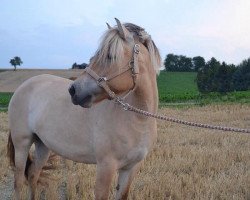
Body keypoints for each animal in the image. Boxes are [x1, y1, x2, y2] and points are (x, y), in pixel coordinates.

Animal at [7, 18, 161, 199]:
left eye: (110, 56)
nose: (73, 90)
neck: (137, 120)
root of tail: (22, 86)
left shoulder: (131, 168)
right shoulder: (106, 166)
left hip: (42, 144)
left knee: (33, 174)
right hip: (22, 143)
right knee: (18, 181)